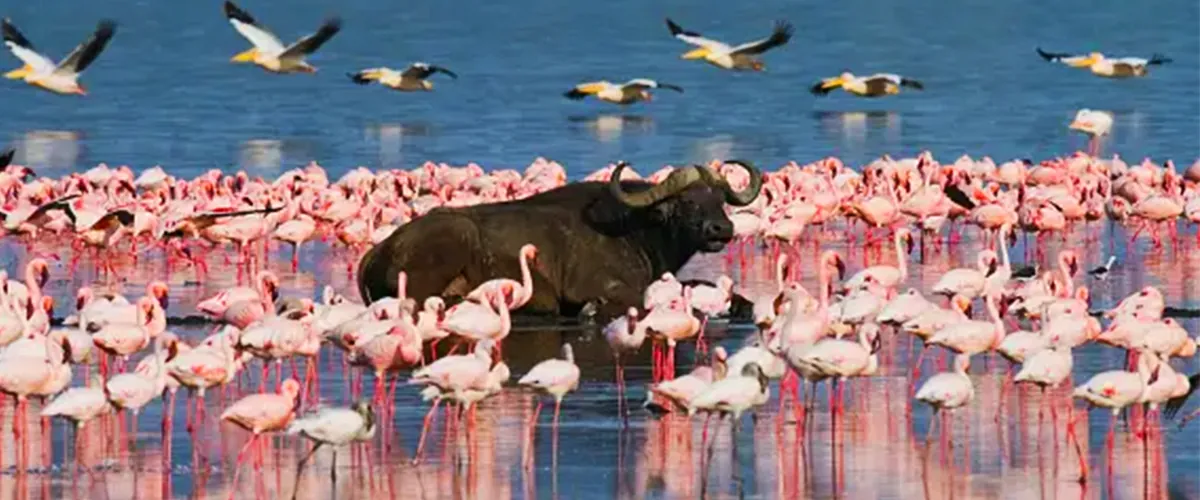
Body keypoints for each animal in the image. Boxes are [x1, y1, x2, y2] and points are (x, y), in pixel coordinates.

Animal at [356, 160, 763, 320]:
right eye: (687, 202)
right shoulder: (599, 286)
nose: (721, 230)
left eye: (719, 198)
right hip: (454, 239)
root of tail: (379, 251)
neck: (635, 229)